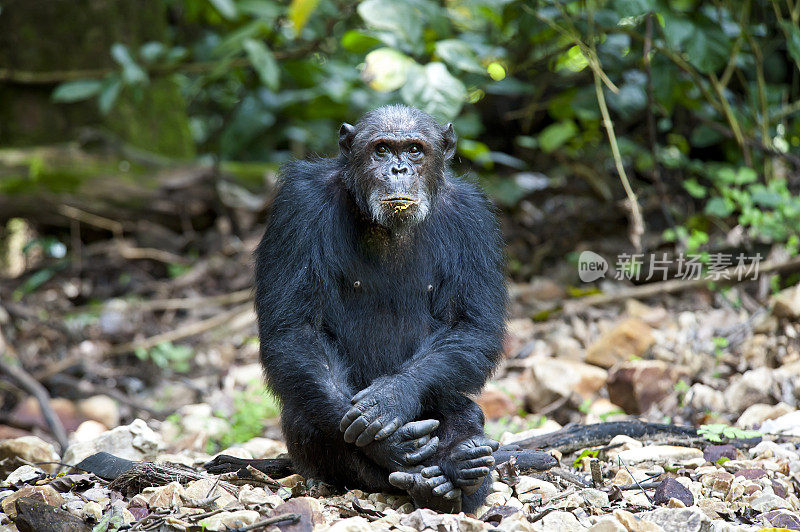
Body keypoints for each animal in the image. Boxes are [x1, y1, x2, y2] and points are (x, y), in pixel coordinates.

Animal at [206, 105, 552, 512]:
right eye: (382, 149)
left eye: (415, 149)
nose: (398, 169)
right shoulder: (298, 206)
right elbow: (296, 327)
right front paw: (389, 444)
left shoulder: (475, 220)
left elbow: (472, 325)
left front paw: (391, 399)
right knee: (310, 414)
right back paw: (420, 475)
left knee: (462, 406)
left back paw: (460, 470)